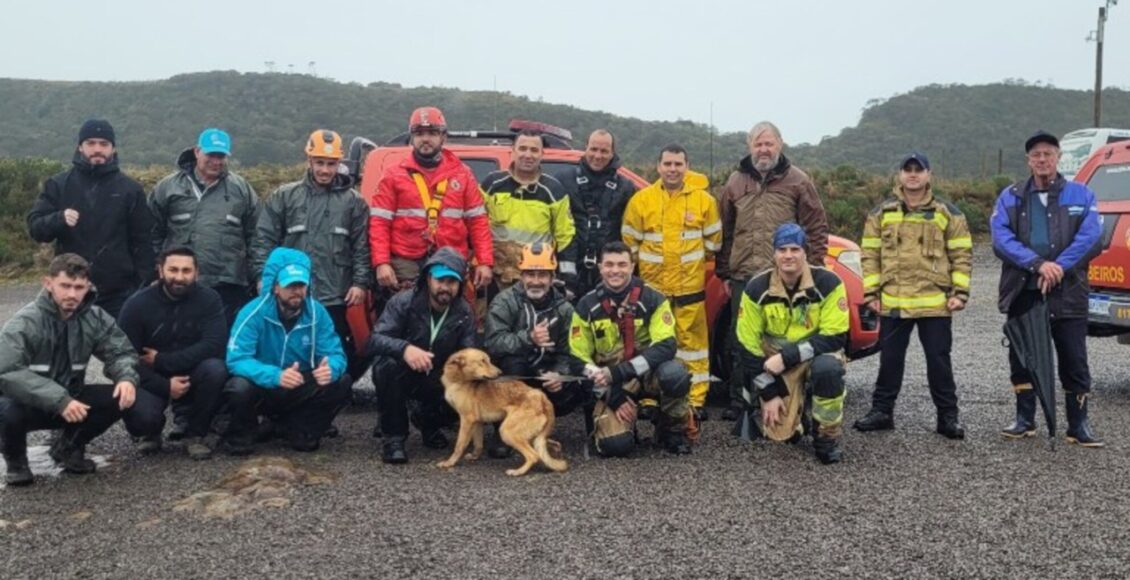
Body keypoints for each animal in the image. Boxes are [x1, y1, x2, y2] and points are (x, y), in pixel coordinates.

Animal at [436, 348, 569, 474]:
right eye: (482, 361)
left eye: (488, 360)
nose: (500, 373)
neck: (458, 380)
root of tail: (541, 397)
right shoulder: (477, 422)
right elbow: (478, 444)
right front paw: (474, 457)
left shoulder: (466, 420)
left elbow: (459, 445)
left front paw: (449, 463)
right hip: (530, 435)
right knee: (550, 445)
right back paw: (555, 453)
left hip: (507, 432)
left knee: (534, 456)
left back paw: (518, 472)